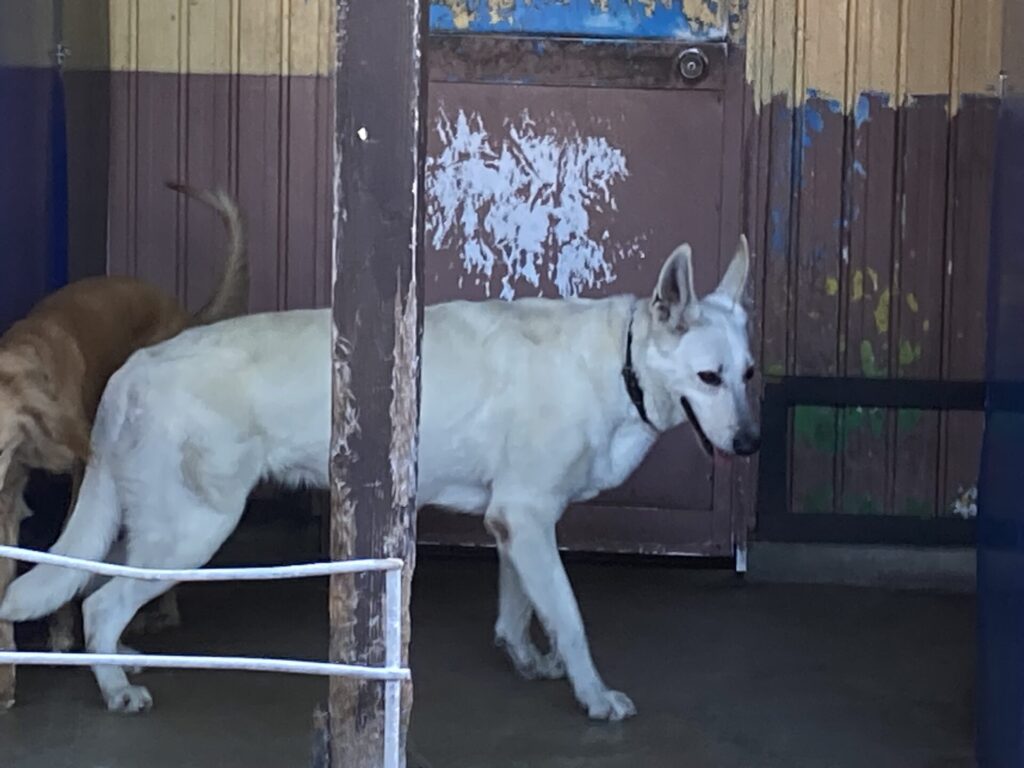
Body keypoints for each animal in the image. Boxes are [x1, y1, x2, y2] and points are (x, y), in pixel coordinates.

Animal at [0, 236, 761, 720]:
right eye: (708, 378)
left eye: (748, 375)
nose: (752, 443)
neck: (619, 363)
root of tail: (131, 369)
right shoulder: (529, 519)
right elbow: (570, 619)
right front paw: (593, 696)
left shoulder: (516, 525)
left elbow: (521, 610)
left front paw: (527, 659)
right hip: (192, 533)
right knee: (101, 603)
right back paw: (114, 690)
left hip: (151, 531)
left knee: (91, 591)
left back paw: (118, 660)